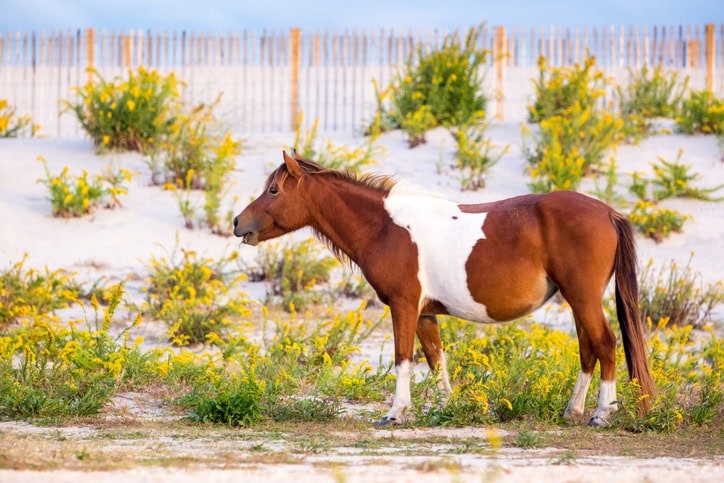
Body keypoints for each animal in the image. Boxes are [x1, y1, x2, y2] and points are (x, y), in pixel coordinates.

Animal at [233, 151, 656, 427]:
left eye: (274, 190)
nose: (238, 223)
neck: (385, 227)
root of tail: (607, 211)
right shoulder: (425, 313)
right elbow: (437, 361)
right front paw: (446, 408)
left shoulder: (403, 306)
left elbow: (404, 358)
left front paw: (395, 413)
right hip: (578, 300)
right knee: (588, 349)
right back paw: (574, 411)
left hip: (582, 298)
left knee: (605, 344)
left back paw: (602, 414)